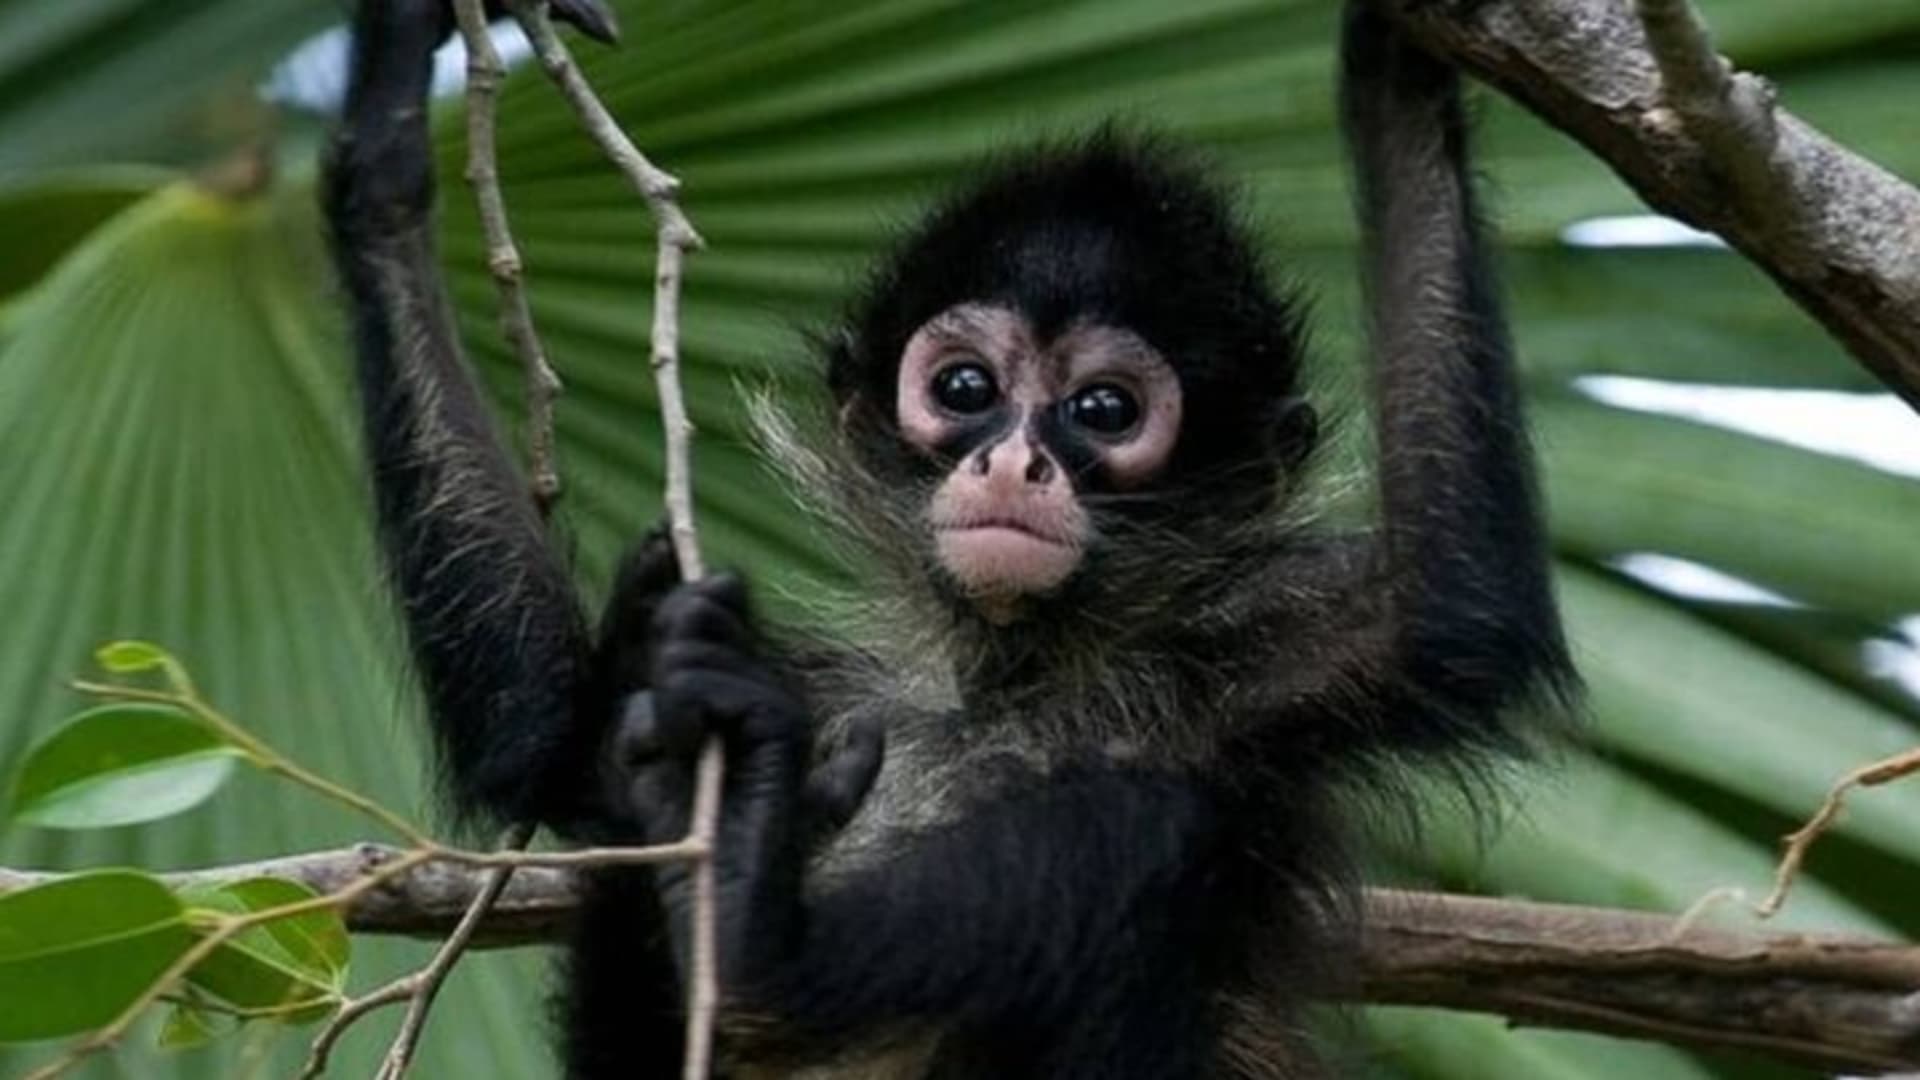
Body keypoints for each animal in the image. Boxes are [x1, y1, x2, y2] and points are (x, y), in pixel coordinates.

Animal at [322, 1, 1576, 1077]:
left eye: (1104, 411)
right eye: (966, 388)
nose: (1014, 461)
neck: (1002, 680)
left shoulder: (1252, 669)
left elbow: (1451, 608)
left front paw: (1406, 61)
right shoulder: (843, 682)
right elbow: (547, 734)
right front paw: (383, 139)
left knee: (1142, 823)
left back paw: (751, 923)